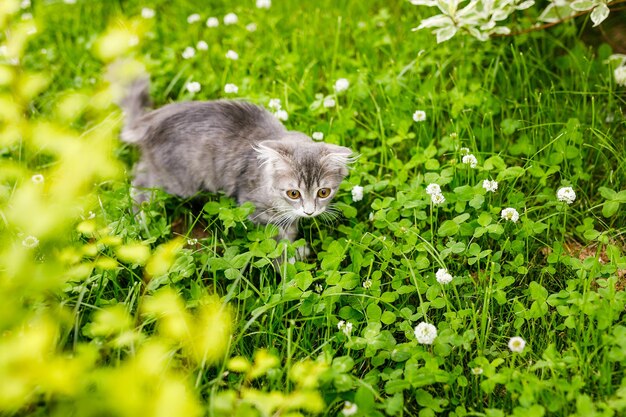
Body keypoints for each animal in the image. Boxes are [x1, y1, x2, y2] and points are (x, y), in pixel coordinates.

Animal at [117, 77, 352, 240]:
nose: (309, 212)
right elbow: (279, 239)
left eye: (323, 192)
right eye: (293, 193)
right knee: (140, 182)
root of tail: (152, 120)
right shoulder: (254, 206)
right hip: (178, 181)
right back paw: (140, 218)